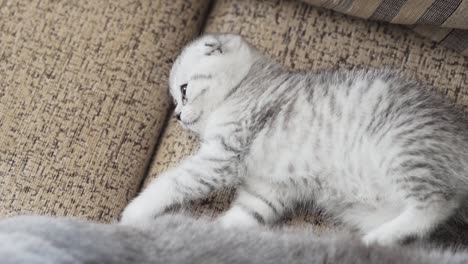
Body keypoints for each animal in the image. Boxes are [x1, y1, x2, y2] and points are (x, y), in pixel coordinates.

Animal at [120, 34, 468, 246]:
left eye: (183, 91)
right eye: (175, 100)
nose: (178, 117)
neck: (244, 85)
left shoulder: (223, 154)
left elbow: (174, 181)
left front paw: (133, 212)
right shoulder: (267, 191)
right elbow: (242, 218)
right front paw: (213, 237)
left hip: (402, 151)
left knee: (437, 203)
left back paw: (376, 240)